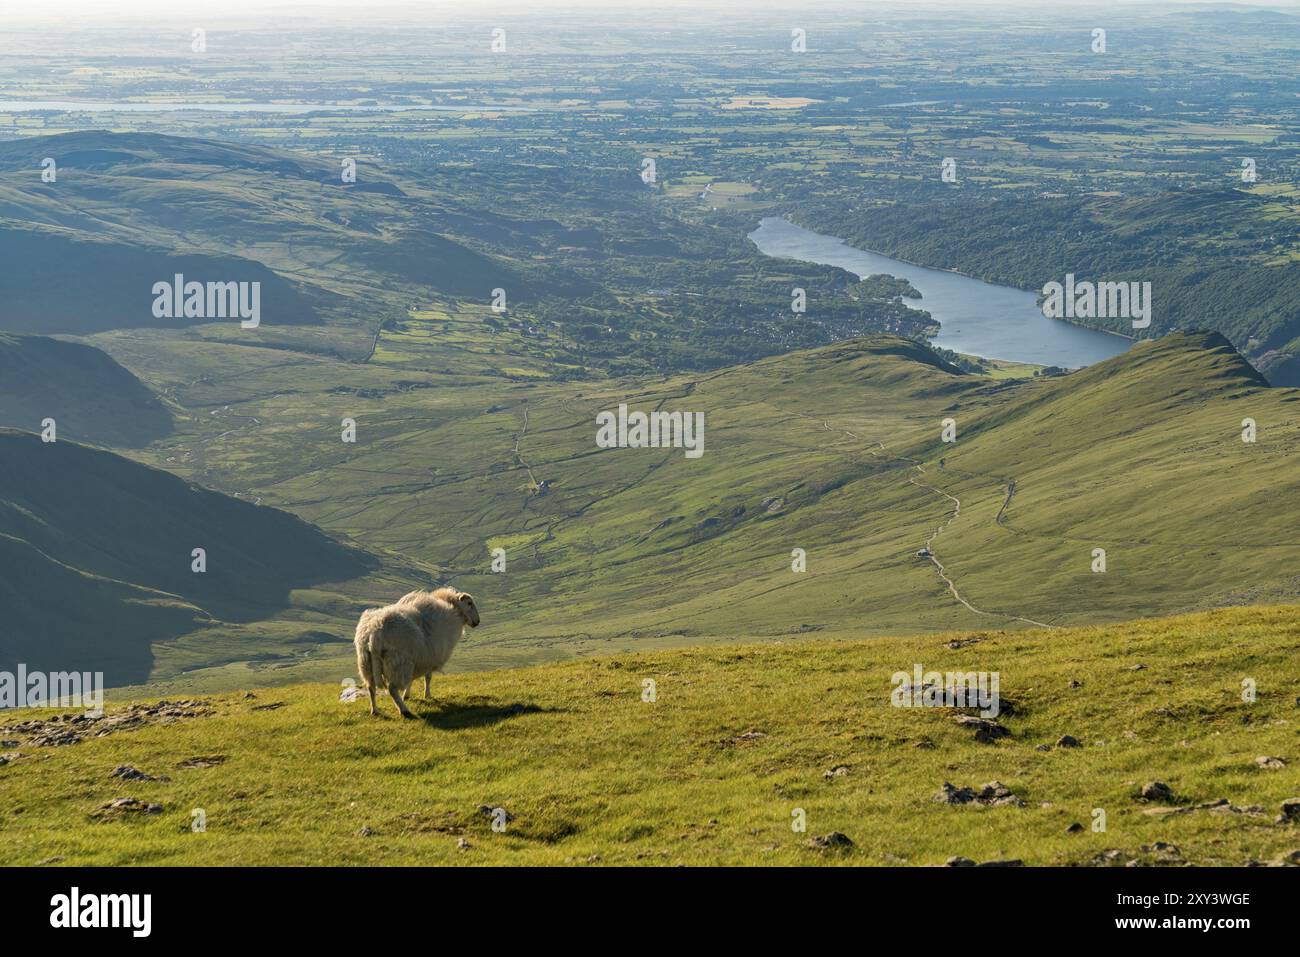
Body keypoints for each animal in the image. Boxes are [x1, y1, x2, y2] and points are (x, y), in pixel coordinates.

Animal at [353, 582, 480, 717]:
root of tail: (373, 632)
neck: (454, 610)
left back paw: (375, 710)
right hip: (399, 663)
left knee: (371, 688)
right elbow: (427, 678)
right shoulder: (430, 657)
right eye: (469, 603)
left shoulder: (418, 659)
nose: (477, 621)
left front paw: (407, 695)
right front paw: (427, 695)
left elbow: (411, 680)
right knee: (392, 689)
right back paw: (404, 710)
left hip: (366, 663)